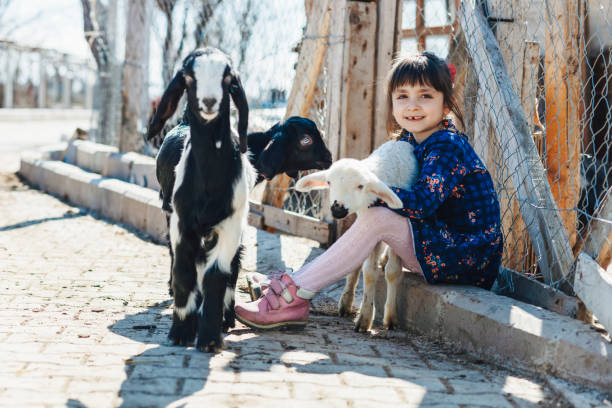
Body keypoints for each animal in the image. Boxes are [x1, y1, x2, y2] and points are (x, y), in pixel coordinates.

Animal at [147, 47, 255, 352]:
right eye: (187, 77)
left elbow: (216, 275)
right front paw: (181, 331)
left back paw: (225, 319)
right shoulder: (182, 222)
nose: (209, 101)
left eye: (228, 78)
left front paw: (208, 337)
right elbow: (183, 271)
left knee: (232, 267)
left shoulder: (230, 224)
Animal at [296, 140, 418, 332]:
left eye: (361, 186)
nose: (337, 209)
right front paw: (363, 315)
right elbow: (367, 271)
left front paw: (389, 317)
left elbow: (392, 272)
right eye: (329, 182)